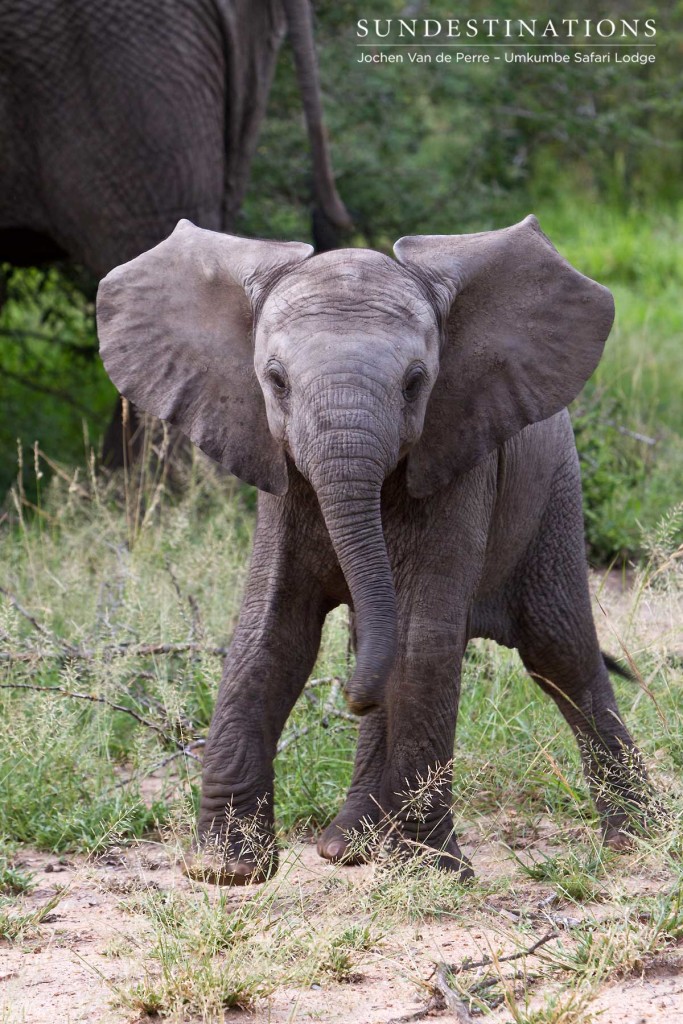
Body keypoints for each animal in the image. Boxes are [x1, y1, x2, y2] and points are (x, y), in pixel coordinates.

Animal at [97, 214, 651, 880]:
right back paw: (348, 848)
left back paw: (638, 839)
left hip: (555, 493)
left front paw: (429, 872)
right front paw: (225, 870)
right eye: (275, 381)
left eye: (415, 384)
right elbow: (271, 633)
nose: (350, 700)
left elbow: (420, 641)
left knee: (558, 651)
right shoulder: (282, 477)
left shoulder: (457, 457)